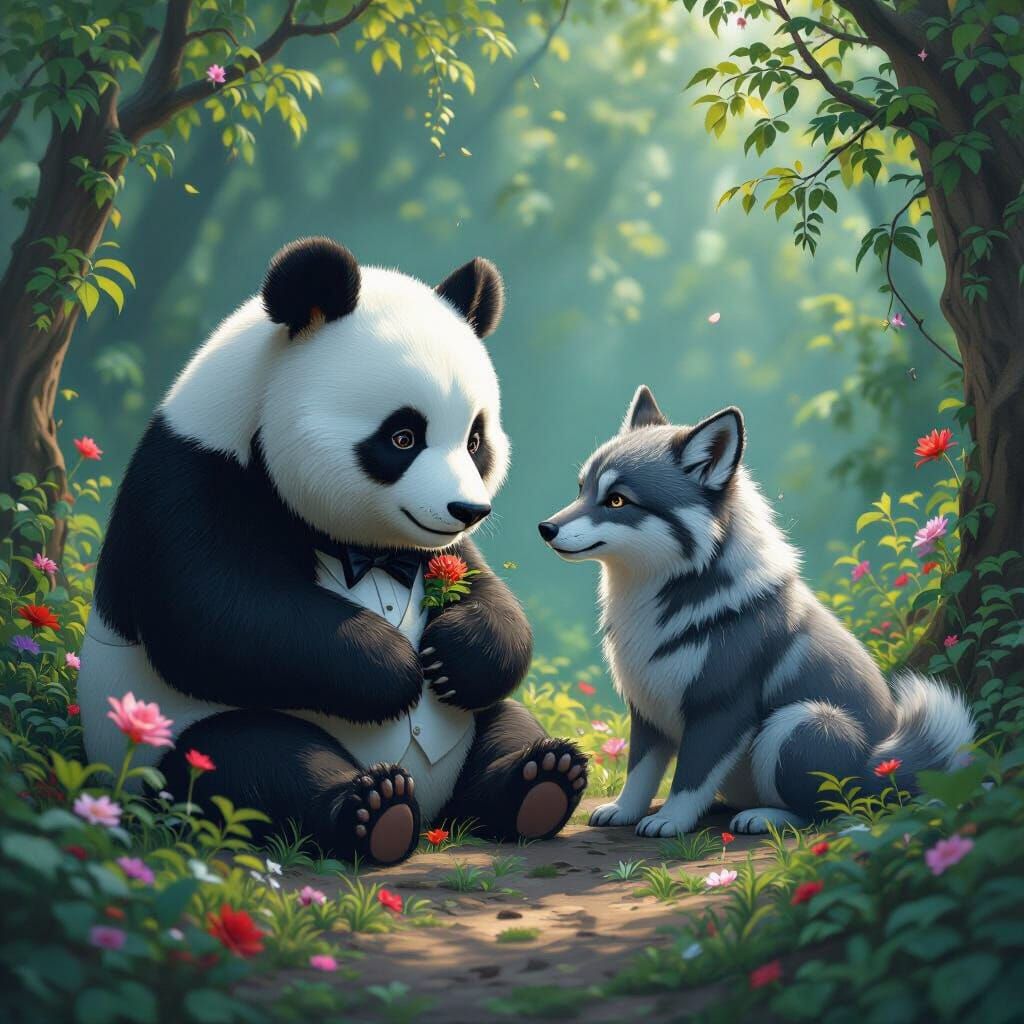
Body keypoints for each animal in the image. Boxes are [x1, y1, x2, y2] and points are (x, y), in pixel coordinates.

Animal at [78, 237, 588, 865]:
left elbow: (489, 595)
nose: (468, 509)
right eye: (402, 437)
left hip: (471, 736)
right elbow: (213, 616)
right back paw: (375, 809)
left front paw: (452, 656)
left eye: (475, 440)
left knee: (505, 724)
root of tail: (437, 812)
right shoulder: (190, 478)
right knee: (253, 764)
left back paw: (541, 779)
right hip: (171, 736)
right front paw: (395, 669)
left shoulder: (437, 551)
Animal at [538, 385, 975, 836]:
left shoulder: (721, 708)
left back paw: (766, 817)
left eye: (616, 500)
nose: (545, 528)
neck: (658, 596)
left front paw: (671, 820)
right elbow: (640, 772)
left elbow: (690, 777)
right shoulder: (646, 708)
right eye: (581, 489)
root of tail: (882, 766)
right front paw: (624, 810)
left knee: (832, 810)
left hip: (799, 723)